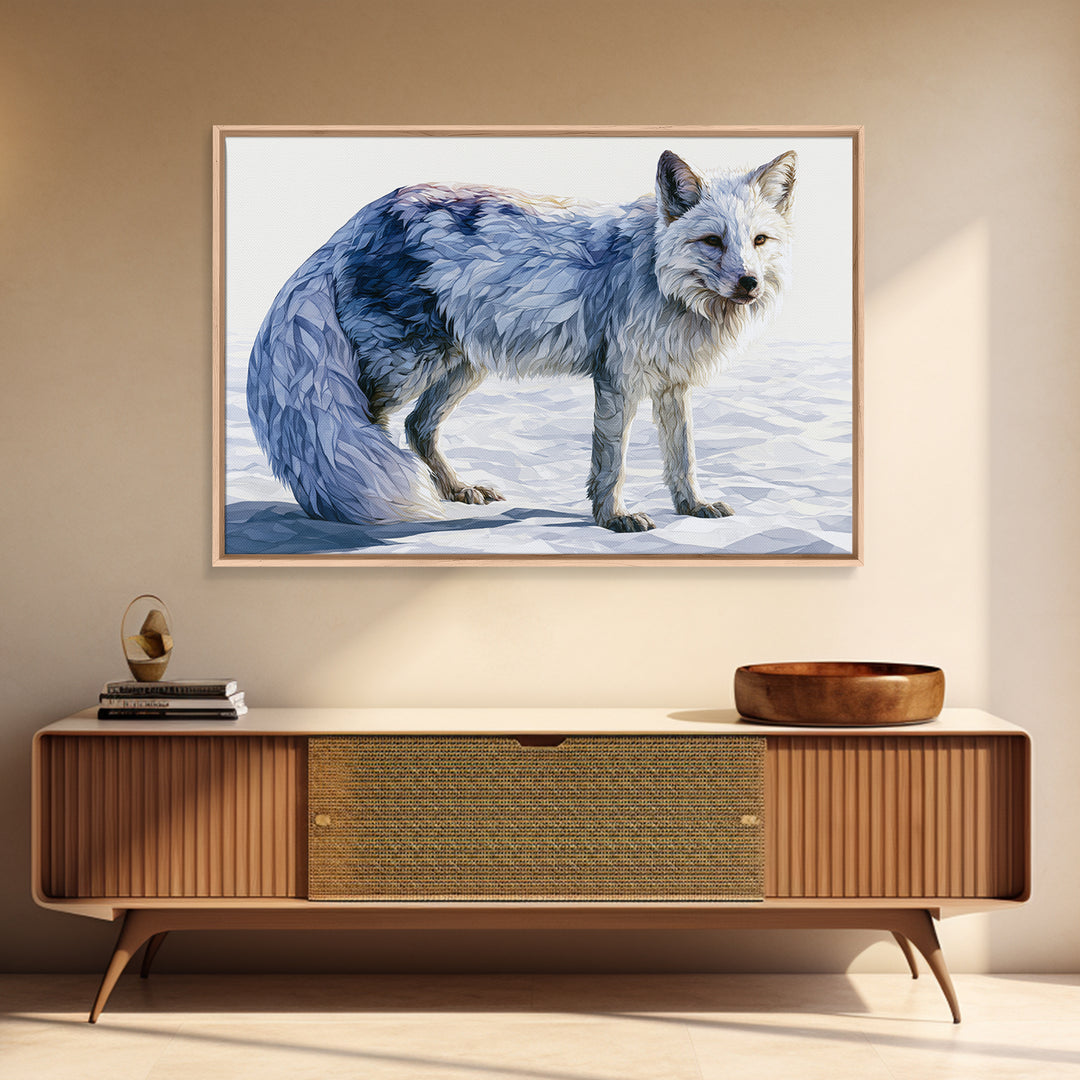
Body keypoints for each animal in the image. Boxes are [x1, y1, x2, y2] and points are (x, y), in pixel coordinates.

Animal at [247, 149, 796, 532]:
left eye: (759, 241)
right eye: (712, 241)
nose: (748, 283)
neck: (660, 278)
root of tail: (357, 221)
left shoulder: (672, 384)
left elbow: (682, 456)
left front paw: (692, 506)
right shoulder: (616, 380)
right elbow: (612, 463)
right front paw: (612, 518)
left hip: (462, 367)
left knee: (417, 428)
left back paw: (453, 489)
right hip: (404, 366)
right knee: (367, 425)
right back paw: (363, 500)